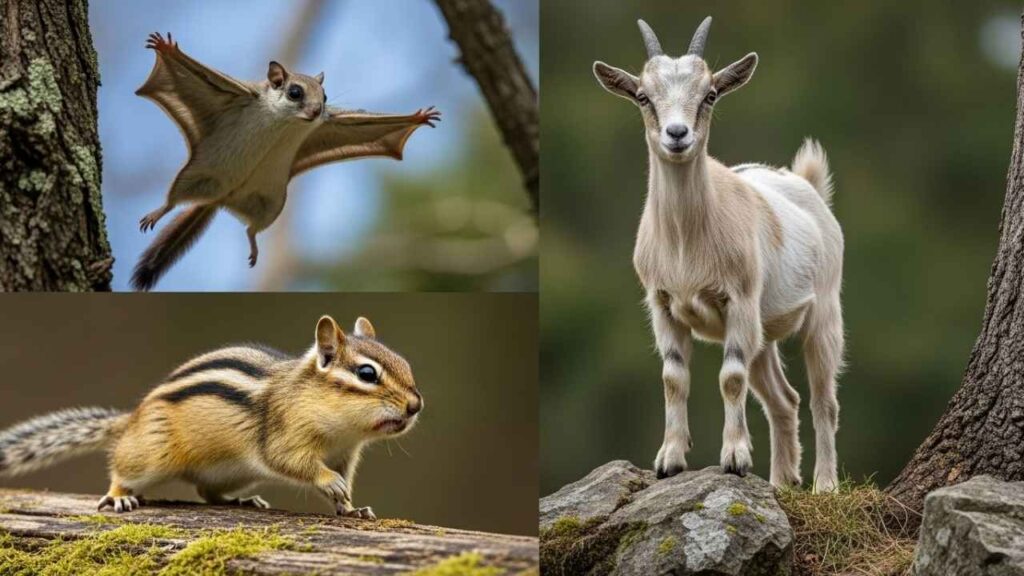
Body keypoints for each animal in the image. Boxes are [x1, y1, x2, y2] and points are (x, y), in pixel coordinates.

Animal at [593, 16, 844, 492]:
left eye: (709, 94)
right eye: (643, 96)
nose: (677, 134)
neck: (685, 244)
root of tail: (808, 185)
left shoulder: (739, 298)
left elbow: (730, 377)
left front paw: (735, 458)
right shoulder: (662, 304)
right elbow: (673, 377)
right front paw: (670, 460)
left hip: (824, 311)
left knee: (824, 399)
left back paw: (824, 485)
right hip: (763, 333)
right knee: (784, 400)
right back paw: (781, 482)